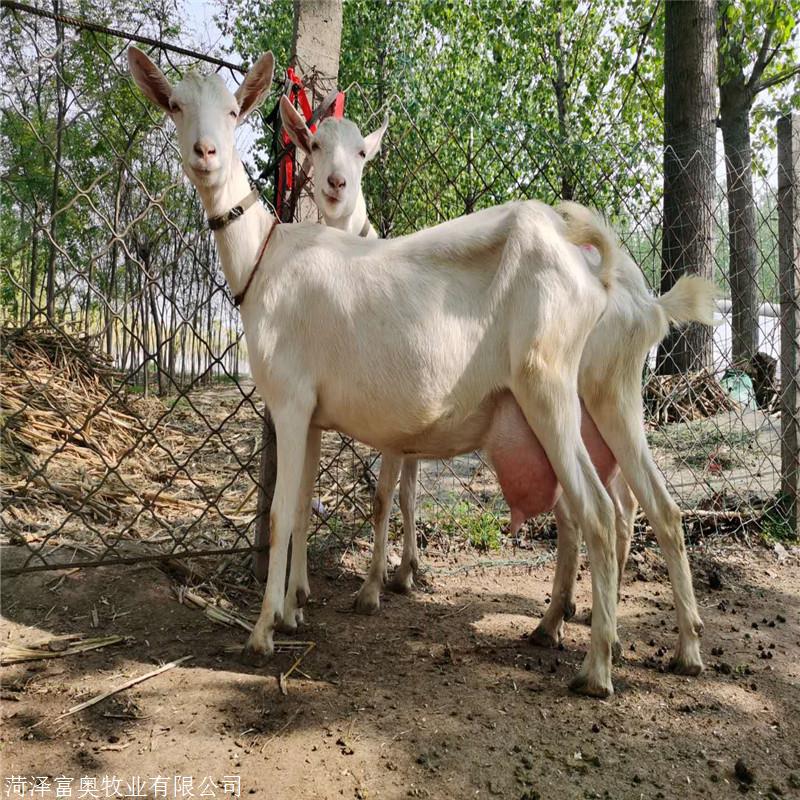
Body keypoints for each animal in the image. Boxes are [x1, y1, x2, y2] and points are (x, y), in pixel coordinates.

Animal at [280, 104, 422, 608]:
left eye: (362, 151)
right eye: (314, 143)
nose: (336, 183)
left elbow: (381, 498)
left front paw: (370, 589)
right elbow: (304, 495)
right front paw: (298, 590)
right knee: (412, 489)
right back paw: (408, 569)